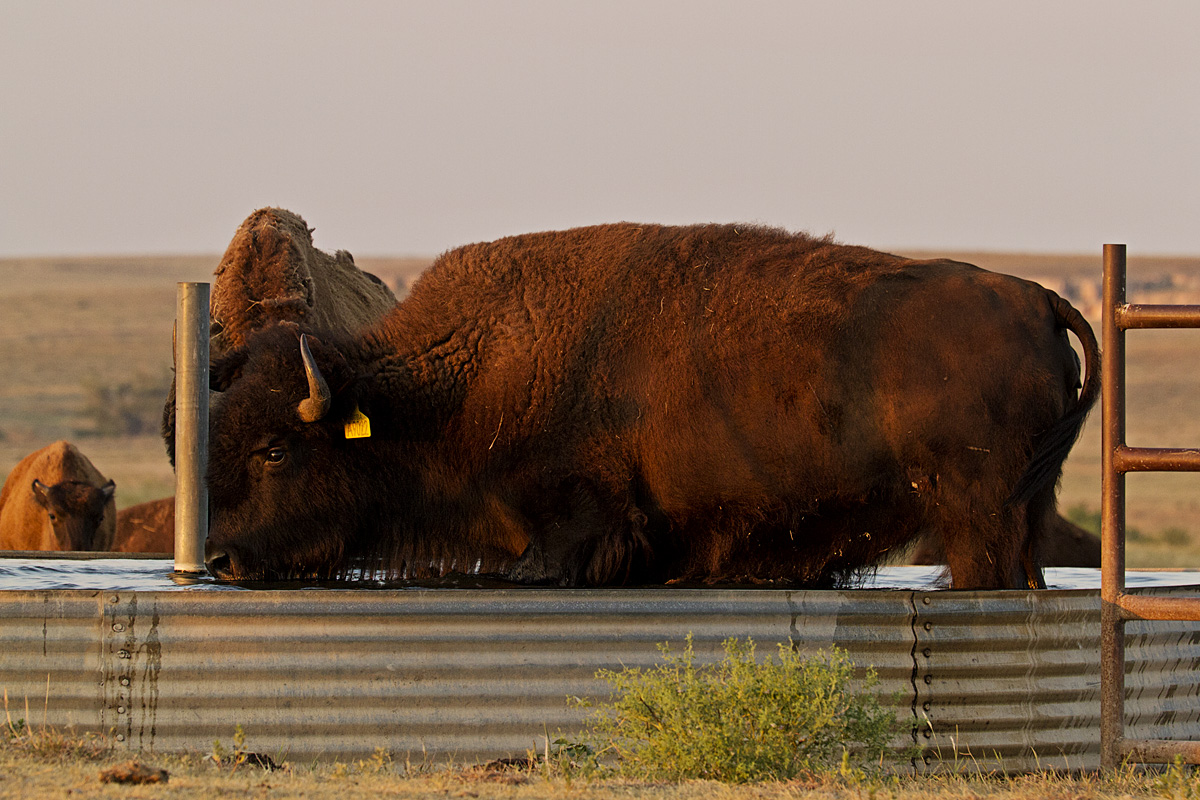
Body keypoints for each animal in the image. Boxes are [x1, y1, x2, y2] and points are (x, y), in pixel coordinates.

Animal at [201, 223, 1099, 589]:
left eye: (276, 450)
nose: (218, 558)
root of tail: (1039, 297)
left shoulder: (575, 531)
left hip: (973, 515)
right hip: (1017, 514)